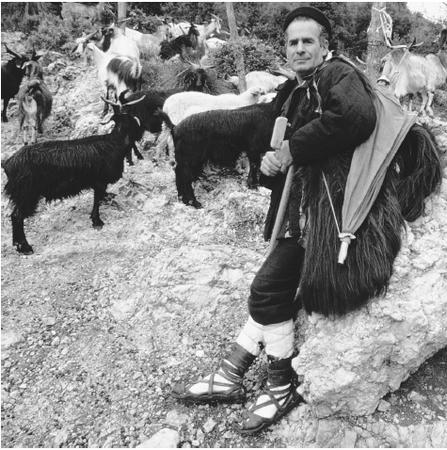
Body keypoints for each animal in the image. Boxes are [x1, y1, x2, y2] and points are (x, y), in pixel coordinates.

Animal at [1, 98, 144, 253]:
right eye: (133, 120)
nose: (141, 134)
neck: (114, 143)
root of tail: (8, 163)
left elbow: (100, 197)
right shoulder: (99, 181)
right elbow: (97, 201)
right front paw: (97, 222)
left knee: (15, 216)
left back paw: (17, 244)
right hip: (26, 193)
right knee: (17, 216)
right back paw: (25, 247)